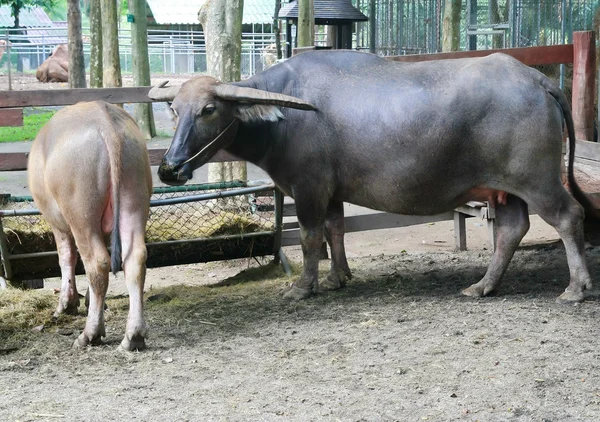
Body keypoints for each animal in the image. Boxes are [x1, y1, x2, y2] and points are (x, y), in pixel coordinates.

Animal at [29, 101, 154, 350]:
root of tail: (106, 122)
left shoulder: (59, 224)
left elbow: (66, 256)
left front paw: (66, 304)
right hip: (134, 198)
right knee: (134, 258)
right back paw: (133, 336)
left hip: (80, 212)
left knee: (96, 262)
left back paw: (89, 334)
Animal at [149, 50, 596, 304]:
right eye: (174, 109)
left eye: (208, 109)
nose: (169, 167)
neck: (285, 118)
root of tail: (536, 79)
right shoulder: (331, 191)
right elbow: (336, 230)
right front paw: (337, 278)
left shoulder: (308, 188)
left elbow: (310, 237)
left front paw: (303, 287)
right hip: (505, 188)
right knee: (511, 229)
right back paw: (483, 286)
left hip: (537, 180)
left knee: (567, 217)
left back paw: (576, 288)